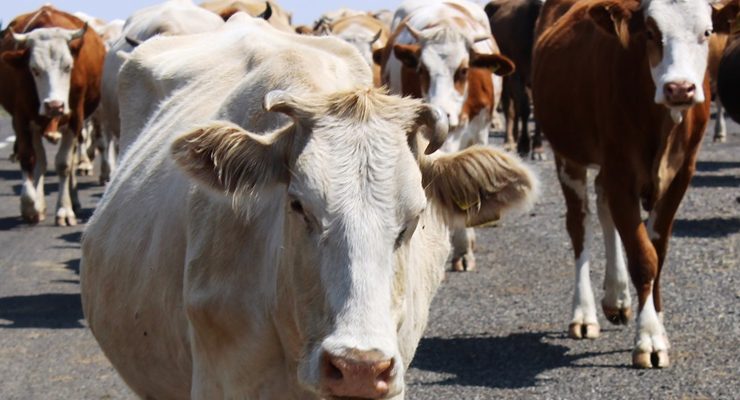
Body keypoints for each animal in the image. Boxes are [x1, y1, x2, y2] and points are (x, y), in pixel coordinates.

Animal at [0, 5, 107, 225]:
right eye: (34, 69)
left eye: (68, 67)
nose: (54, 105)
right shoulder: (21, 118)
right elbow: (29, 158)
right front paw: (30, 205)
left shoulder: (75, 118)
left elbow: (64, 164)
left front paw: (65, 210)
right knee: (40, 161)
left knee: (71, 160)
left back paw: (74, 200)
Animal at [532, 0, 736, 368]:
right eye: (651, 33)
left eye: (707, 31)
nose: (679, 88)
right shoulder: (621, 171)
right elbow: (643, 257)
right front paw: (649, 338)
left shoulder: (681, 175)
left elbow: (658, 249)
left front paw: (657, 320)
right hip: (568, 155)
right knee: (579, 224)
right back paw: (583, 313)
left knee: (602, 204)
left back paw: (617, 297)